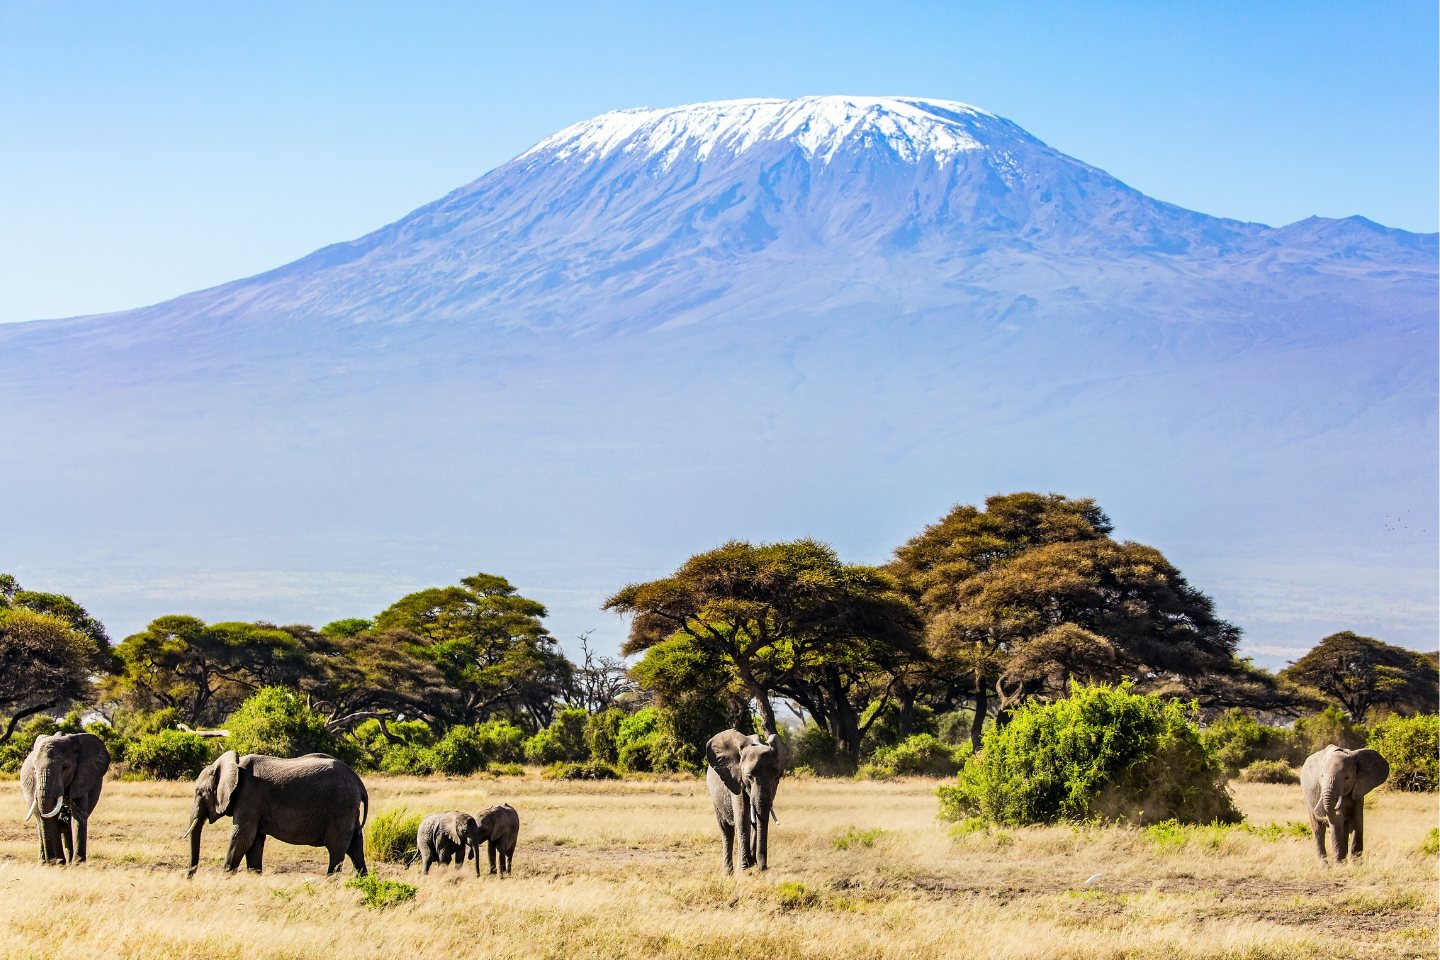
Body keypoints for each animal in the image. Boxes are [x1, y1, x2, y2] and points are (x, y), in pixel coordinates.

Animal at [19, 731, 108, 869]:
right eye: (34, 769)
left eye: (65, 767)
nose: (51, 861)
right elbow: (52, 822)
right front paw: (59, 863)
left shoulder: (82, 777)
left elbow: (78, 818)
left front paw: (77, 864)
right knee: (41, 825)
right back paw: (44, 862)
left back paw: (67, 861)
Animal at [182, 748, 371, 880]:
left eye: (199, 793)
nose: (189, 878)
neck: (234, 764)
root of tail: (360, 784)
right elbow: (254, 843)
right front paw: (254, 878)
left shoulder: (249, 797)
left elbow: (241, 839)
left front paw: (223, 880)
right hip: (348, 808)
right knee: (355, 847)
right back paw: (363, 884)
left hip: (340, 806)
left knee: (336, 849)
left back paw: (329, 882)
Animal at [699, 728, 783, 880]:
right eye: (749, 776)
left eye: (777, 778)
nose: (763, 868)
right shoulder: (735, 779)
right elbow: (742, 820)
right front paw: (743, 870)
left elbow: (758, 820)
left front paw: (751, 865)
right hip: (715, 798)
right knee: (726, 830)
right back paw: (727, 872)